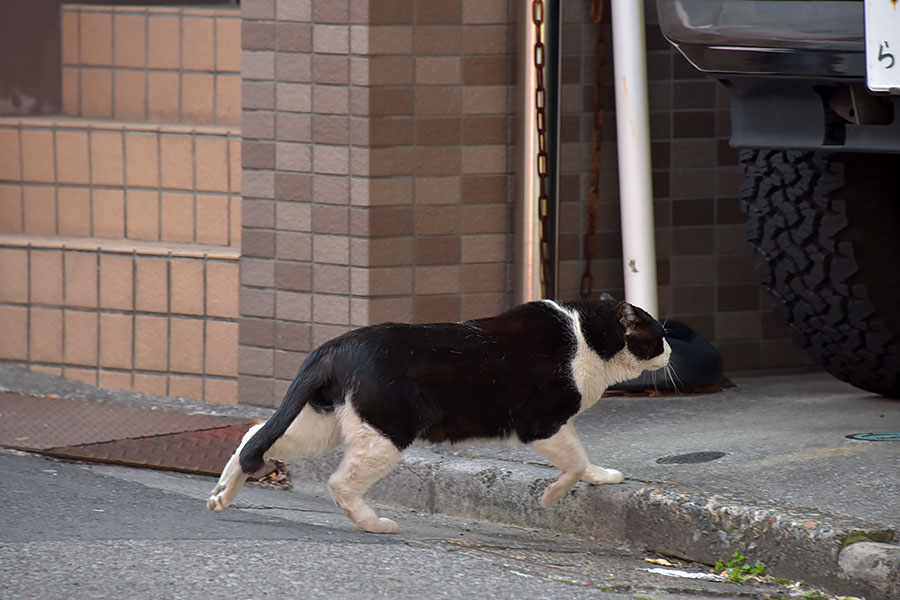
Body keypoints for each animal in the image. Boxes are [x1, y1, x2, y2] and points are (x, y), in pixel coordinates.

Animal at [209, 292, 668, 532]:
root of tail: (333, 347)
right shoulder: (540, 423)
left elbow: (583, 459)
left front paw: (602, 477)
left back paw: (222, 495)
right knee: (339, 483)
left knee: (253, 438)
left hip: (323, 424)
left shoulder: (556, 425)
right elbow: (573, 461)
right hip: (387, 432)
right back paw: (376, 524)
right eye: (659, 335)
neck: (588, 337)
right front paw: (550, 497)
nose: (669, 351)